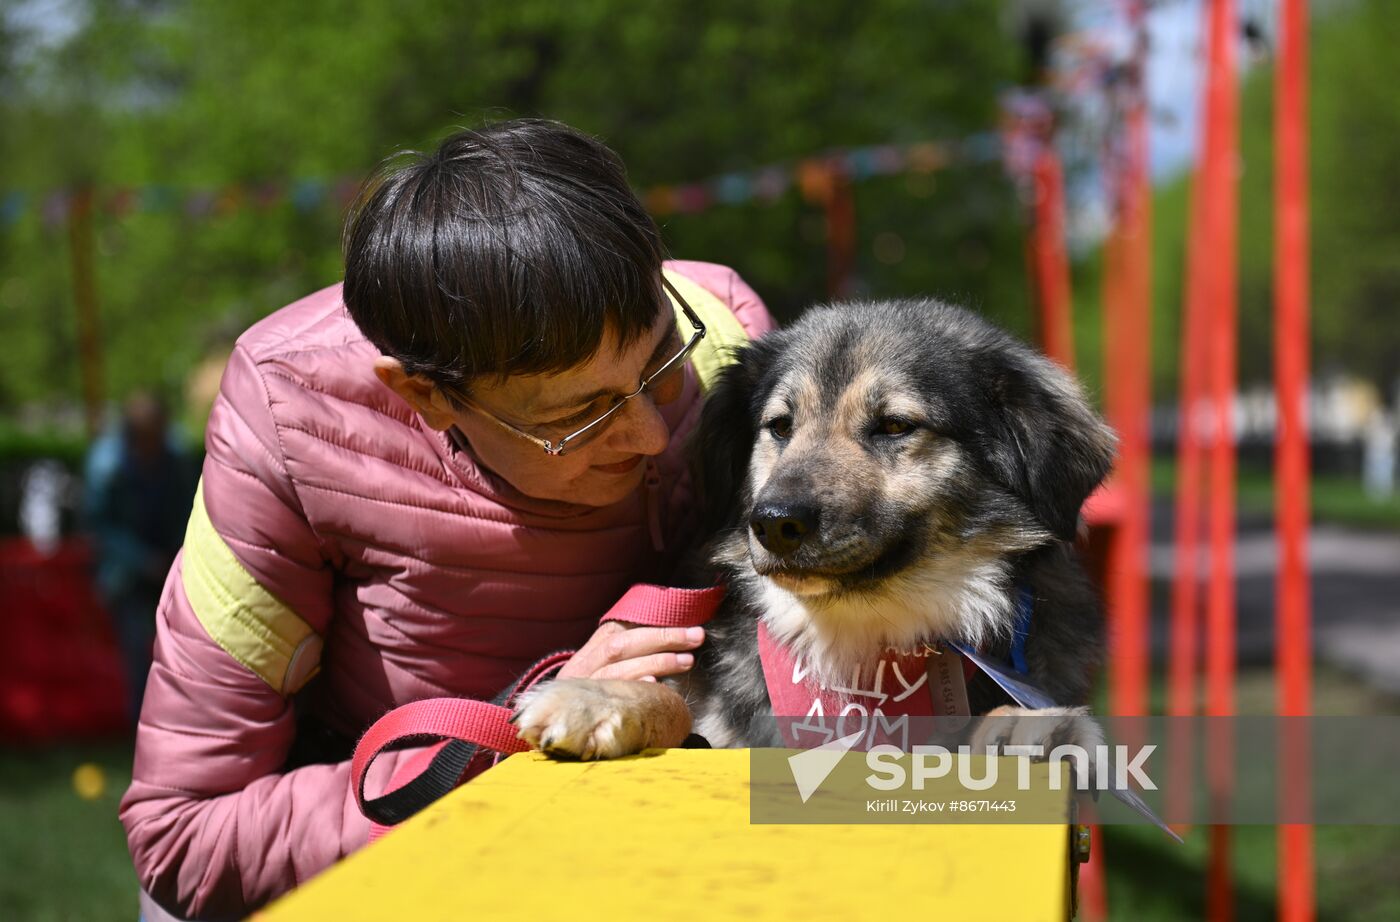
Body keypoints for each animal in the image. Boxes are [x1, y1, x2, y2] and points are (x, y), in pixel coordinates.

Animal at [515, 299, 1114, 761]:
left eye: (895, 425)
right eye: (780, 426)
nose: (773, 524)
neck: (859, 642)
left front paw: (1029, 725)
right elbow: (685, 709)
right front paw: (597, 699)